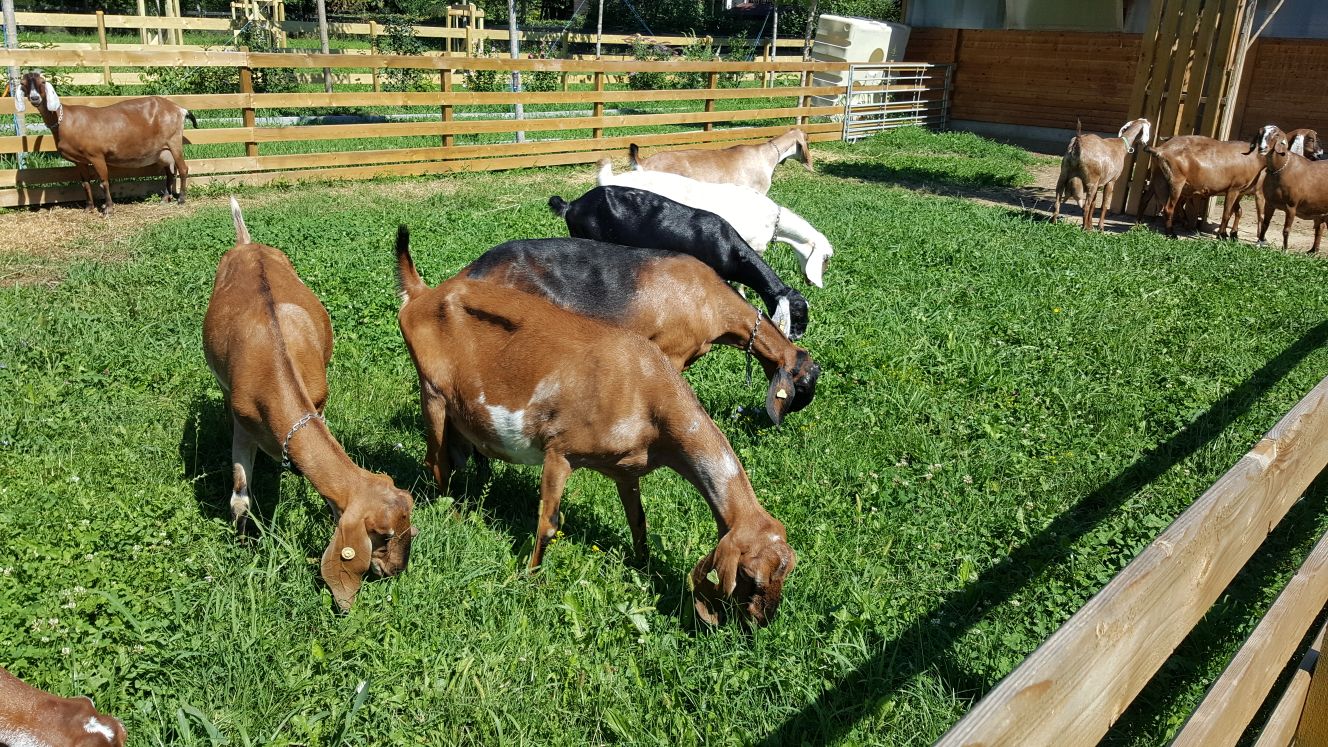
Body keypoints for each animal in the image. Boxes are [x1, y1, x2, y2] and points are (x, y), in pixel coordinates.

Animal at [17, 70, 198, 216]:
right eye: (23, 84)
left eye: (42, 82)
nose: (35, 98)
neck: (65, 120)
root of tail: (180, 109)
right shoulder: (80, 161)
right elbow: (85, 184)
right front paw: (89, 208)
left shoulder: (96, 155)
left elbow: (104, 182)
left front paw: (108, 209)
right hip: (163, 150)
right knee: (170, 171)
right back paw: (165, 198)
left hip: (174, 141)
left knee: (183, 168)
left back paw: (181, 199)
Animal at [203, 198, 416, 611]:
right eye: (382, 535)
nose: (396, 571)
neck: (273, 361)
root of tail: (246, 244)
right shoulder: (244, 424)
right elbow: (240, 498)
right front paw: (243, 544)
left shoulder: (318, 405)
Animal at [396, 233, 797, 627]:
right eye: (750, 576)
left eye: (786, 572)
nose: (762, 622)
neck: (646, 390)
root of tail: (422, 294)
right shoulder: (560, 452)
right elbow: (549, 522)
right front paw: (531, 578)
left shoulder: (626, 470)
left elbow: (639, 521)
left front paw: (642, 566)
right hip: (433, 393)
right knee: (436, 462)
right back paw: (454, 515)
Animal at [1256, 125, 1328, 253]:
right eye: (1260, 133)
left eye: (1276, 135)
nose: (1262, 148)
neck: (1282, 168)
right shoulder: (1270, 203)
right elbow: (1265, 223)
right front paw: (1260, 243)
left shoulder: (1291, 206)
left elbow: (1286, 230)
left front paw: (1284, 250)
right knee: (1320, 227)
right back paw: (1312, 251)